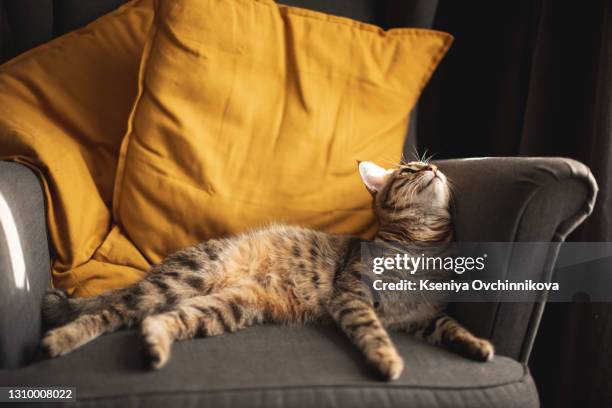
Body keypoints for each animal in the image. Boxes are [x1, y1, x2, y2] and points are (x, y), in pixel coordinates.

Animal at [41, 159, 492, 380]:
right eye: (410, 169)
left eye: (426, 166)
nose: (434, 168)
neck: (420, 249)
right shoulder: (353, 297)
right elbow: (373, 332)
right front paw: (387, 360)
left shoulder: (421, 316)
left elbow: (450, 326)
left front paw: (478, 345)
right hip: (184, 280)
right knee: (112, 312)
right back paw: (62, 339)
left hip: (227, 308)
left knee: (157, 320)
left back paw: (155, 346)